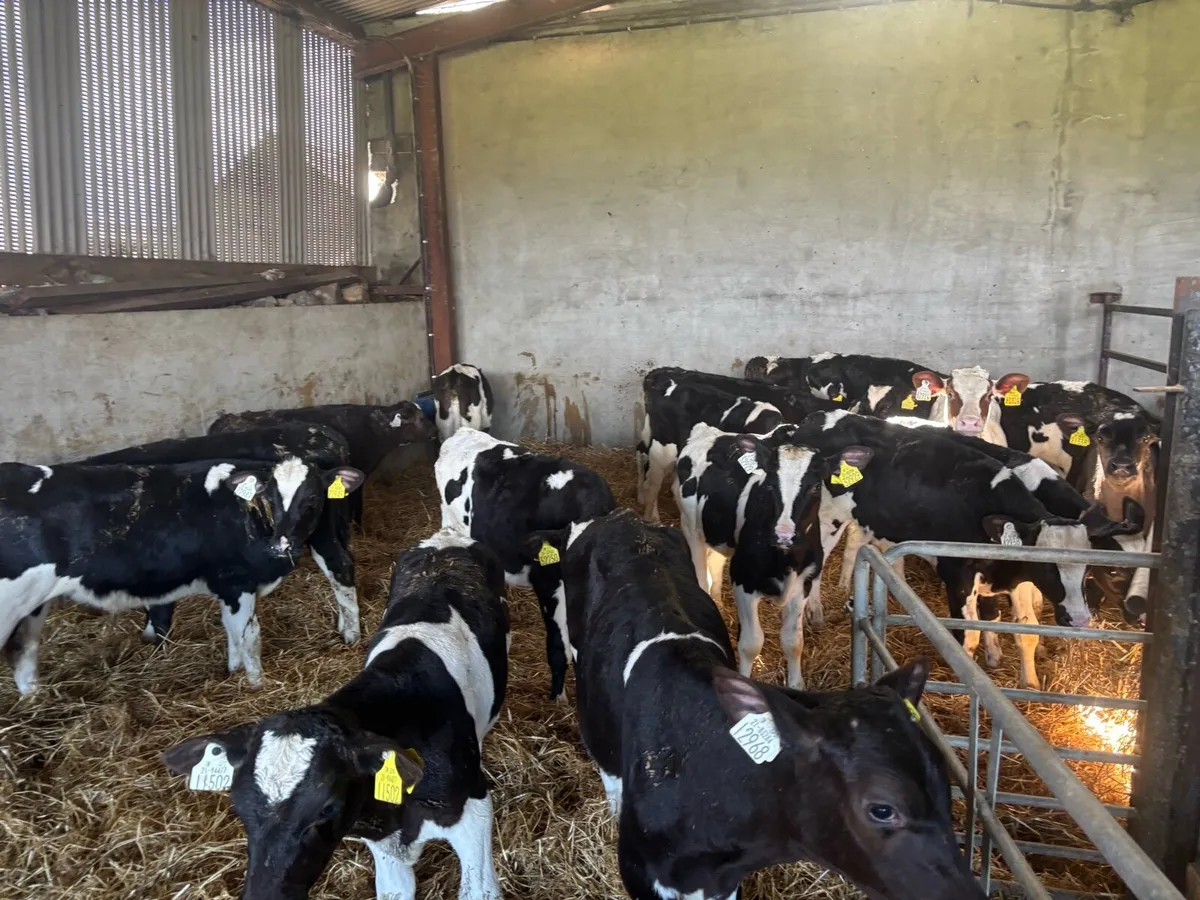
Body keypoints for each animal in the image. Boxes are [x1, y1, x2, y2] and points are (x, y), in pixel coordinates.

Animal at [0, 457, 364, 695]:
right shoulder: (237, 582)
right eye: (268, 498)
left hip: (33, 603)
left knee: (25, 651)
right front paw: (256, 685)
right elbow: (248, 635)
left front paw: (233, 673)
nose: (281, 545)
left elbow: (233, 631)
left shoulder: (227, 584)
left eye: (312, 499)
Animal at [162, 526, 508, 900]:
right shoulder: (384, 846)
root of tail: (446, 536)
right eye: (238, 805)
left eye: (326, 807)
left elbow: (480, 890)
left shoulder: (474, 815)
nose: (264, 893)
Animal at [673, 423, 861, 687]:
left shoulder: (803, 584)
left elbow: (794, 642)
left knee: (716, 562)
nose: (784, 535)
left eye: (816, 486)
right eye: (770, 484)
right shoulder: (743, 581)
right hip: (691, 528)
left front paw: (796, 685)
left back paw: (718, 601)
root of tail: (710, 430)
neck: (786, 561)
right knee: (701, 574)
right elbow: (751, 643)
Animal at [787, 412, 1142, 689]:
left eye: (1089, 567)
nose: (1079, 618)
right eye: (1047, 566)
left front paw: (1022, 676)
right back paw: (816, 612)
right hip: (826, 518)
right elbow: (966, 639)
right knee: (819, 564)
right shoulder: (957, 573)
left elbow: (1020, 626)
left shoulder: (1011, 577)